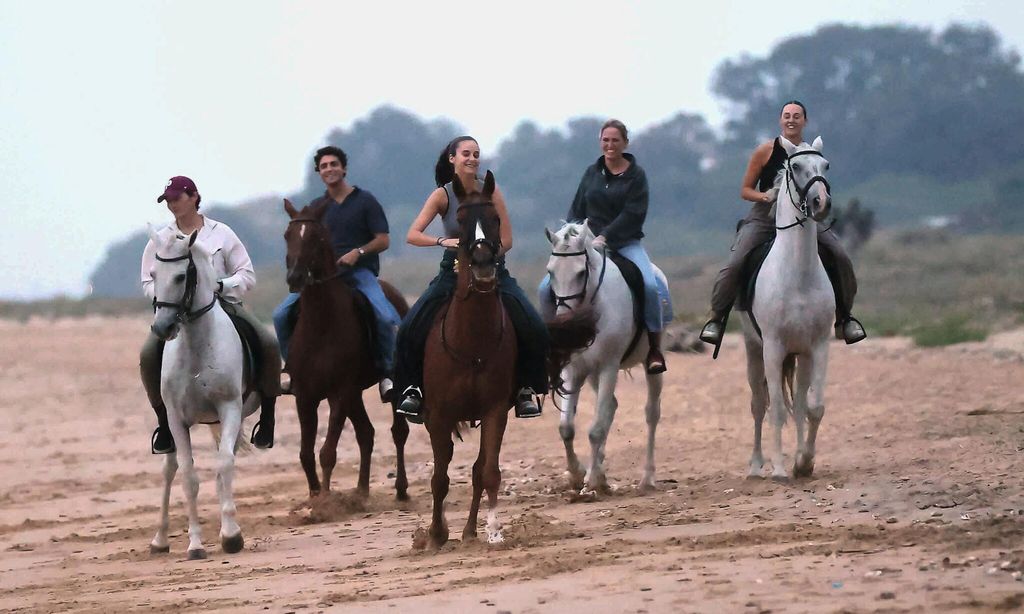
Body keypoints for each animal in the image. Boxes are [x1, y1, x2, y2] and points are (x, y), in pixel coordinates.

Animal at [147, 228, 260, 560]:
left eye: (181, 275)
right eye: (152, 274)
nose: (162, 328)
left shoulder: (230, 409)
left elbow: (224, 465)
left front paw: (232, 535)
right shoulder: (176, 419)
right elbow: (188, 476)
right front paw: (195, 544)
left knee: (222, 464)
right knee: (169, 469)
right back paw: (159, 540)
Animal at [284, 199, 411, 501]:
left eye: (317, 238)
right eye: (287, 235)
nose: (295, 277)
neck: (321, 325)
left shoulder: (340, 392)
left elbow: (327, 452)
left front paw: (327, 501)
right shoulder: (305, 396)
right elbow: (306, 454)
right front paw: (316, 495)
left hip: (385, 387)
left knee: (398, 431)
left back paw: (401, 488)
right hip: (354, 394)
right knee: (367, 433)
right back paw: (361, 490)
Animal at [419, 171, 516, 548]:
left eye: (495, 218)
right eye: (459, 221)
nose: (484, 267)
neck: (472, 341)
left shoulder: (495, 409)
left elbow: (488, 472)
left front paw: (493, 530)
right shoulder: (438, 415)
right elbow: (440, 477)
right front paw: (435, 534)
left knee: (477, 470)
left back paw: (471, 530)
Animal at [544, 221, 663, 493]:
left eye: (580, 273)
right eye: (550, 271)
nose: (563, 325)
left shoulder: (609, 366)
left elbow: (595, 430)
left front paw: (592, 482)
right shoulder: (573, 370)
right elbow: (566, 427)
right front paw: (578, 474)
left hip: (649, 367)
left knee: (651, 413)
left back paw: (647, 478)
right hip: (593, 375)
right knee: (611, 406)